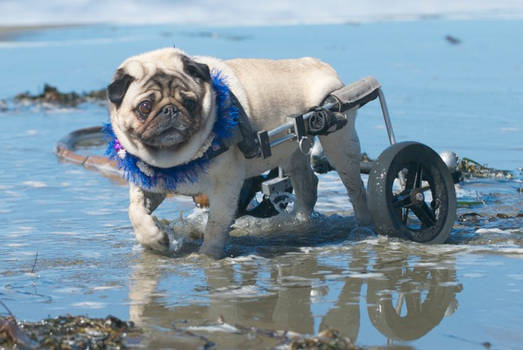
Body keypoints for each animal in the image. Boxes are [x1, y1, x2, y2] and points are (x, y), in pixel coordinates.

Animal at [106, 47, 372, 258]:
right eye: (145, 107)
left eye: (190, 103)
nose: (170, 110)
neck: (175, 157)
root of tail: (318, 64)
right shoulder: (150, 183)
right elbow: (135, 211)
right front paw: (155, 239)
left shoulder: (226, 186)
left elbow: (216, 224)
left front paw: (208, 256)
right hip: (292, 149)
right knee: (307, 184)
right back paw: (300, 221)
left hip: (339, 141)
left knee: (356, 189)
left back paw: (363, 226)